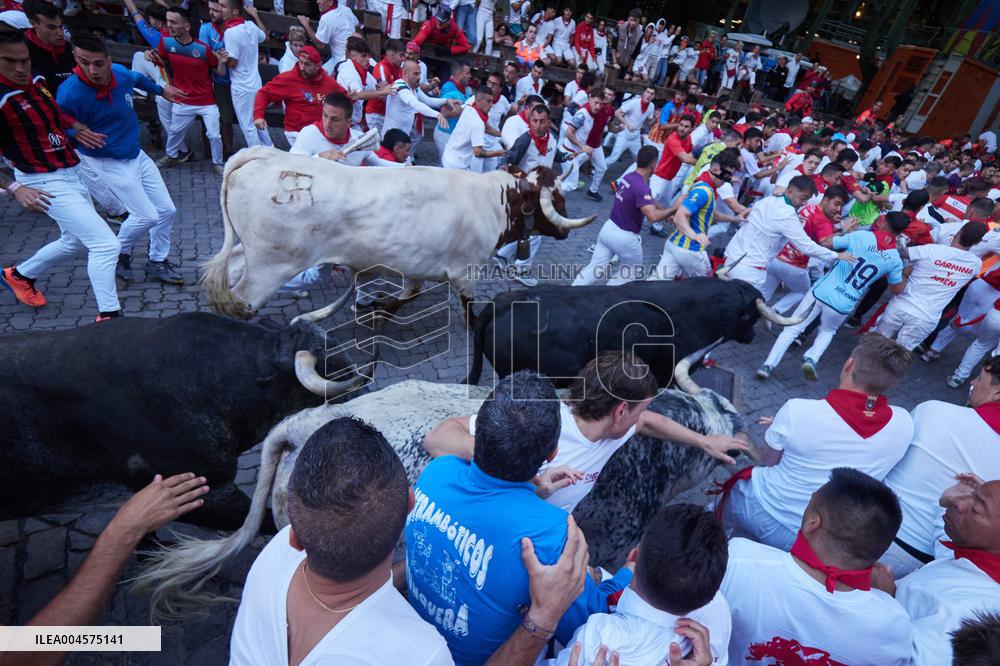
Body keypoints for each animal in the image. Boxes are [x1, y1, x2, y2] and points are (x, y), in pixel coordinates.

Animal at [201, 147, 595, 324]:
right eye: (557, 198)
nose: (563, 231)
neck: (491, 201)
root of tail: (265, 156)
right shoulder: (466, 272)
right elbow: (468, 311)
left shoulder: (413, 265)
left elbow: (408, 295)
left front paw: (379, 312)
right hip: (271, 266)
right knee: (241, 302)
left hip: (250, 253)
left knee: (227, 281)